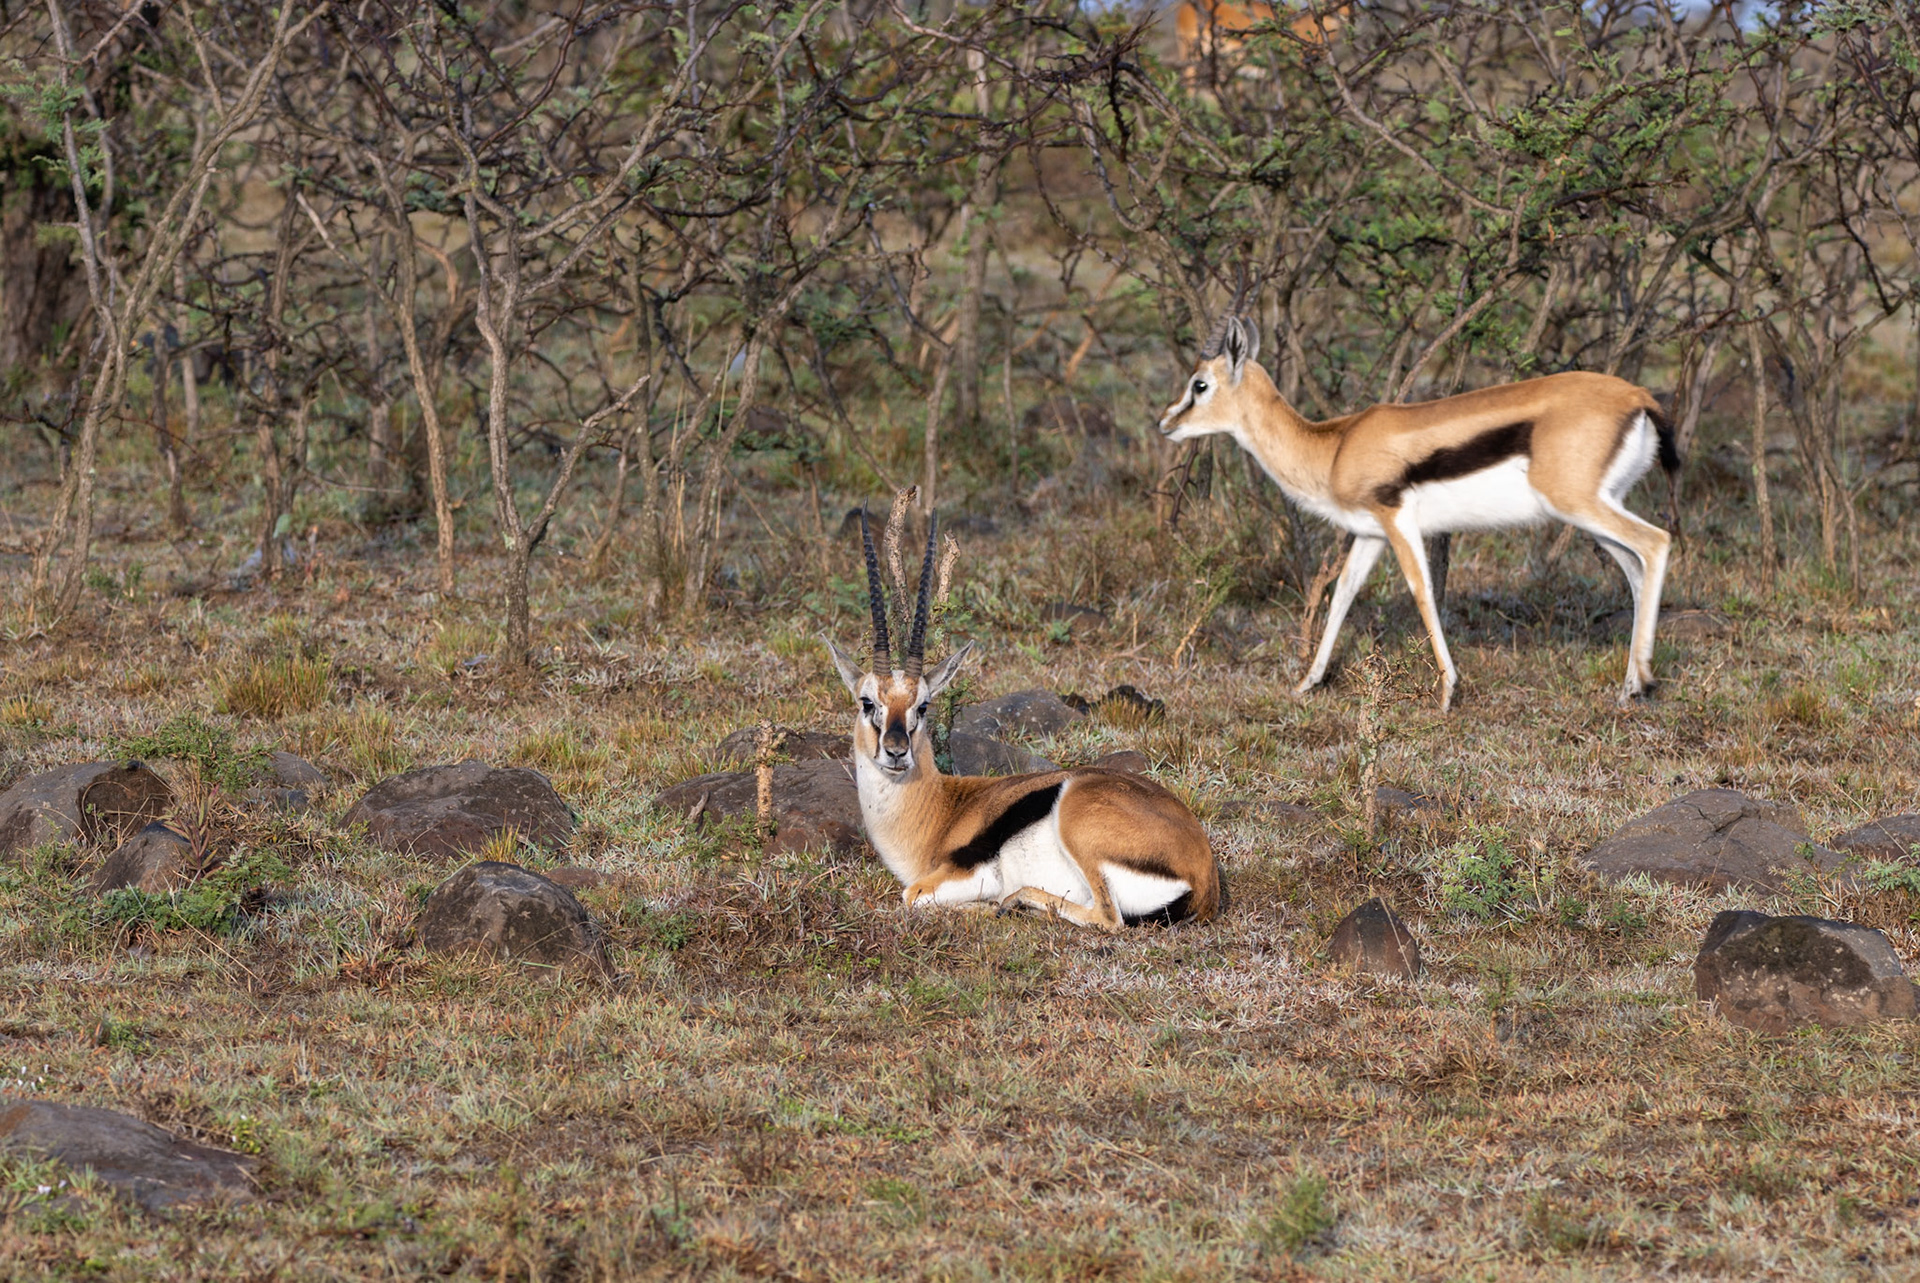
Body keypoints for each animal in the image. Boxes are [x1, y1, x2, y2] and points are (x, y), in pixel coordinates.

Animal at [823, 509, 1221, 930]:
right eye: (867, 702)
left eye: (923, 705)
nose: (896, 752)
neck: (940, 812)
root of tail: (1204, 878)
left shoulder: (960, 874)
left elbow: (911, 896)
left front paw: (988, 905)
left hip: (1078, 829)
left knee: (1106, 919)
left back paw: (1013, 903)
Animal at [1160, 316, 1679, 710]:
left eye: (1200, 384)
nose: (1165, 423)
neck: (1336, 447)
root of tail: (1638, 398)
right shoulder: (1370, 533)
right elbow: (1342, 594)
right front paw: (1307, 683)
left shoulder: (1396, 519)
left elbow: (1421, 591)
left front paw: (1448, 691)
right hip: (1594, 511)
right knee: (1635, 568)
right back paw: (1630, 685)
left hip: (1579, 505)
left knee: (1657, 543)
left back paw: (1644, 680)